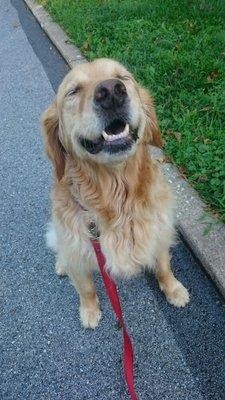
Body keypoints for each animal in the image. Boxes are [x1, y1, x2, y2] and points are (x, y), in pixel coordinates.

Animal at [41, 58, 189, 328]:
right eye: (73, 91)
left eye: (123, 77)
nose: (111, 91)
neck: (118, 197)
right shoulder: (79, 248)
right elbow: (86, 288)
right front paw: (89, 311)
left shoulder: (159, 231)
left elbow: (164, 265)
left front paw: (173, 289)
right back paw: (61, 264)